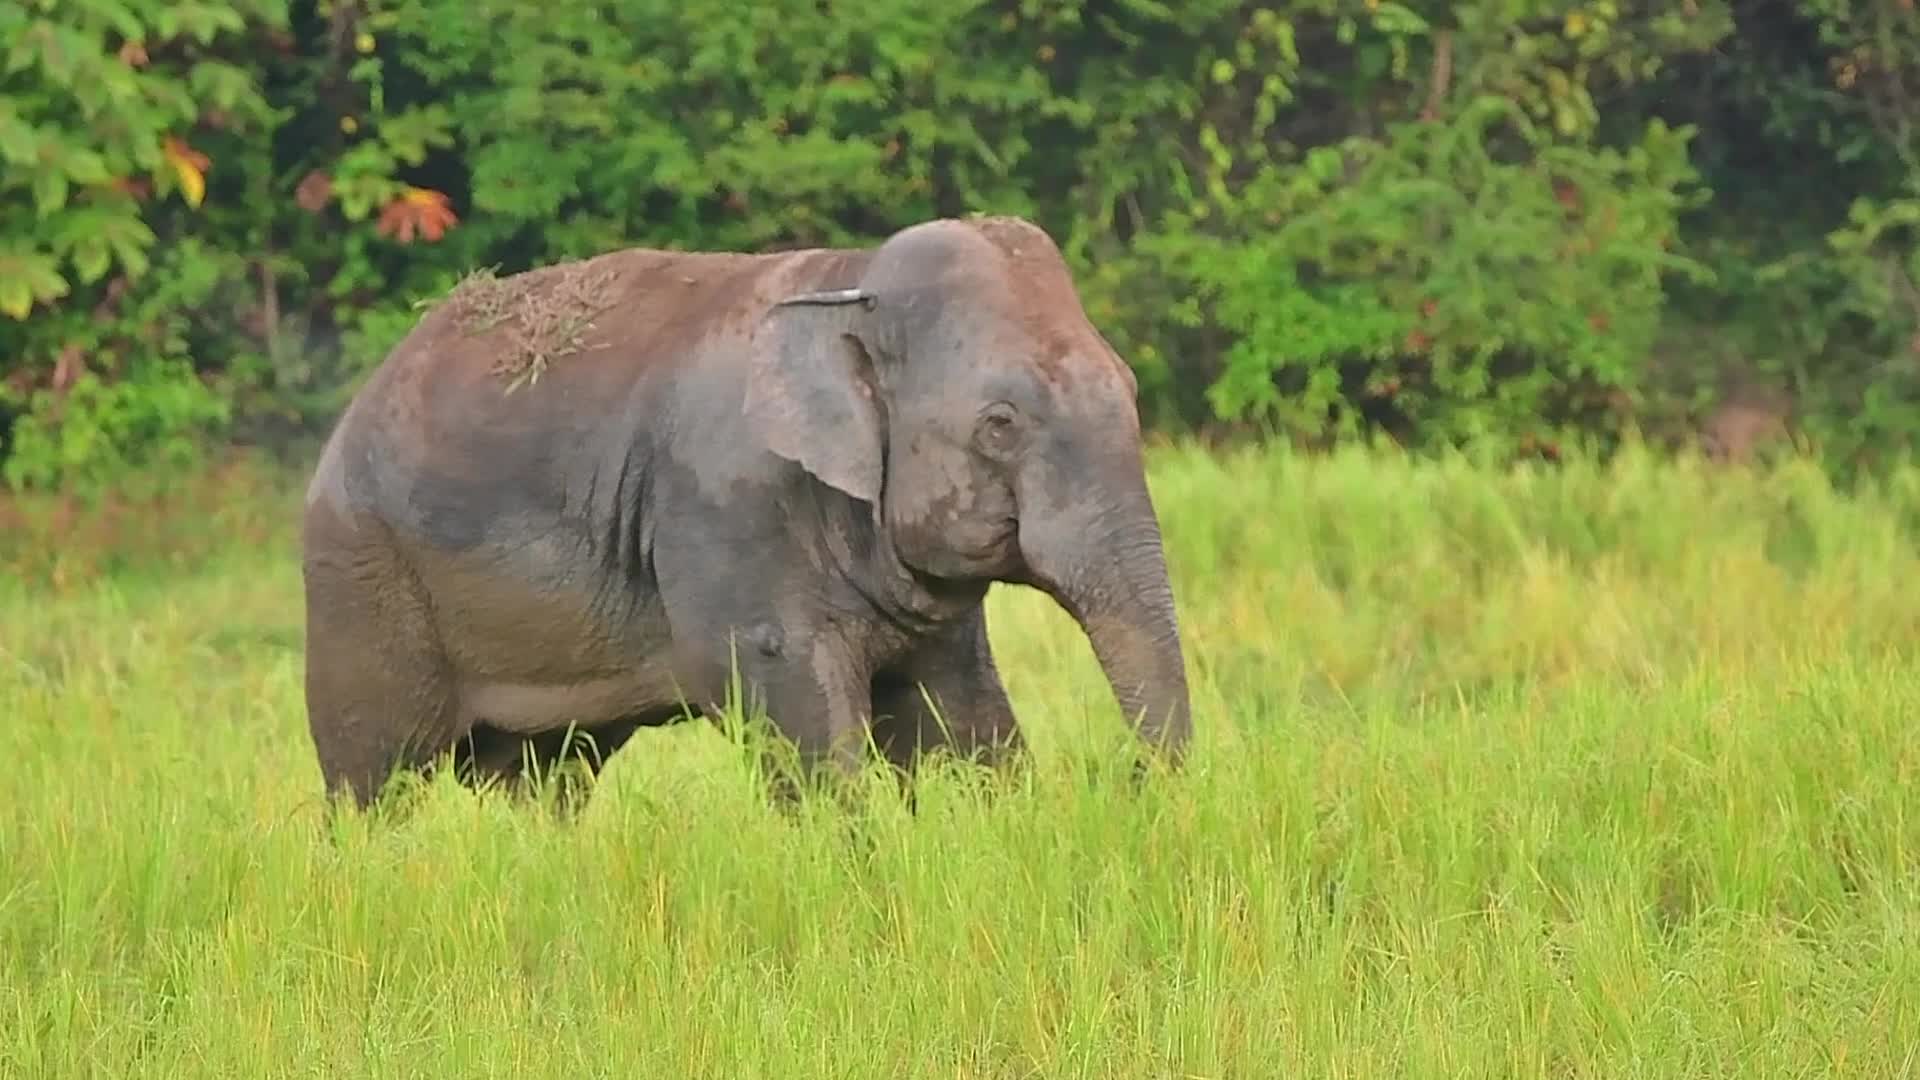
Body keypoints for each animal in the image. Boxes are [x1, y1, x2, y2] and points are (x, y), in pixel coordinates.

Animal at [300, 214, 1192, 809]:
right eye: (1000, 424)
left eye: (1129, 388)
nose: (1127, 776)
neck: (847, 284)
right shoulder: (729, 511)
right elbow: (791, 710)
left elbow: (961, 709)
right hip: (361, 581)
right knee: (375, 778)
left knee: (542, 776)